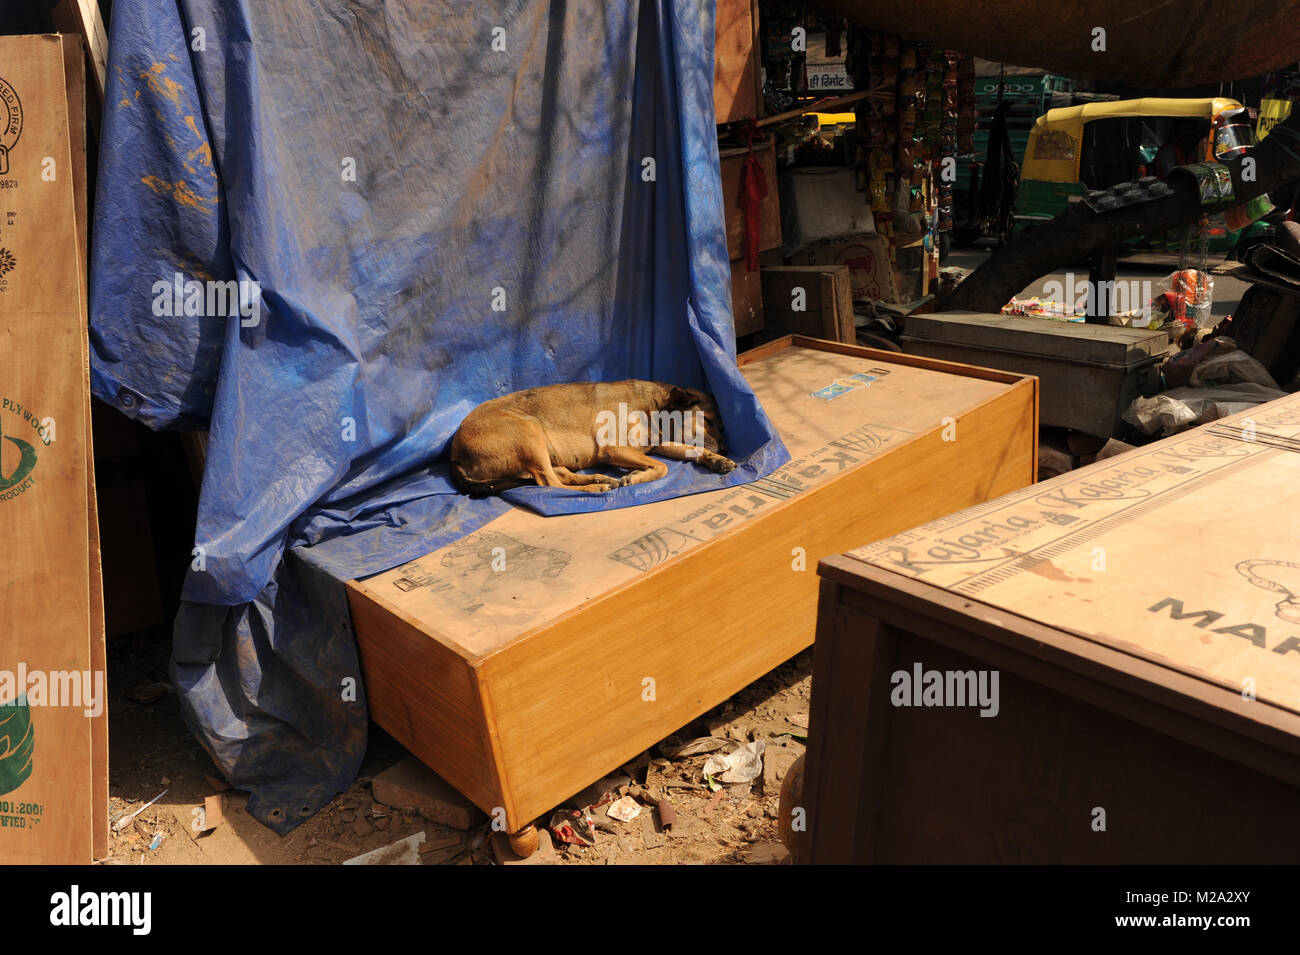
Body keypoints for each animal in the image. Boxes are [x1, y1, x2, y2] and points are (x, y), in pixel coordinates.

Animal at [449, 382, 738, 496]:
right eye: (708, 421)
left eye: (723, 426)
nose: (727, 448)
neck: (653, 407)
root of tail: (454, 454)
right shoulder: (614, 449)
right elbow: (662, 466)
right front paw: (637, 477)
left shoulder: (658, 442)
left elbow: (690, 451)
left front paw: (717, 460)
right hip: (528, 432)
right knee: (549, 483)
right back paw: (594, 488)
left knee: (559, 475)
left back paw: (598, 479)